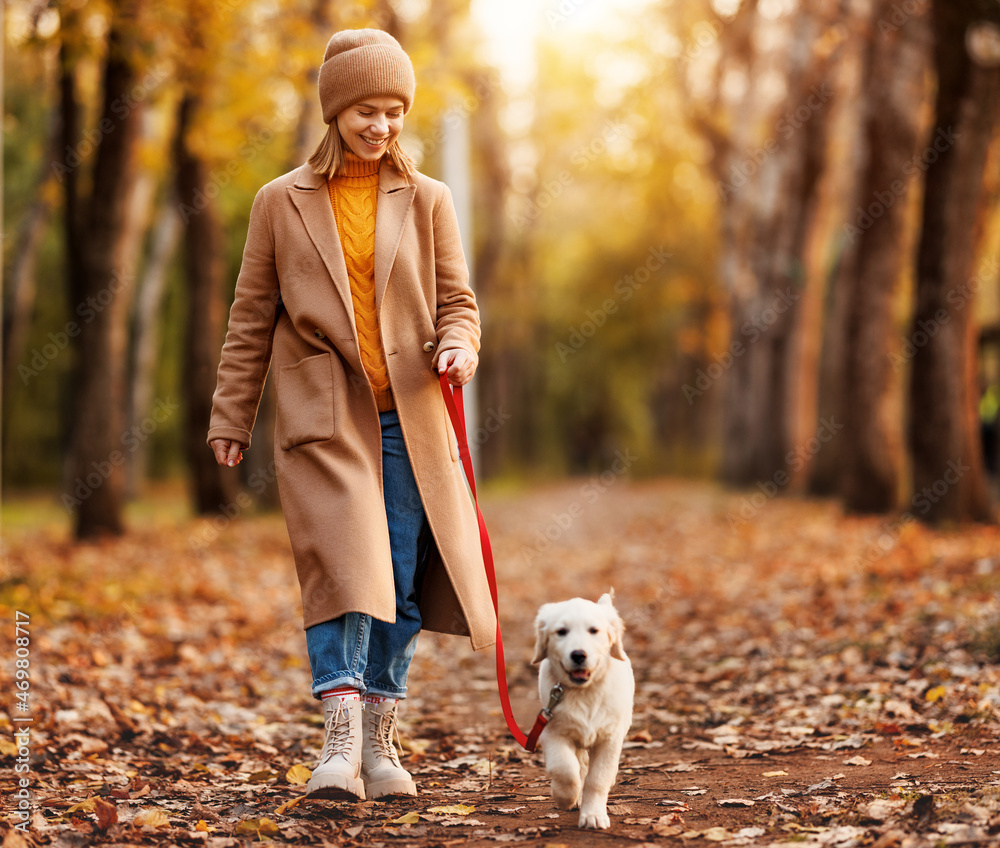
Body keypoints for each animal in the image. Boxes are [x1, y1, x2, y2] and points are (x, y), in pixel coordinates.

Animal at [532, 588, 632, 828]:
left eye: (593, 630)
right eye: (561, 632)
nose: (578, 655)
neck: (584, 692)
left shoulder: (610, 739)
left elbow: (597, 779)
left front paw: (593, 815)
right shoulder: (553, 731)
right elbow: (565, 768)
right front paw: (565, 796)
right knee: (579, 764)